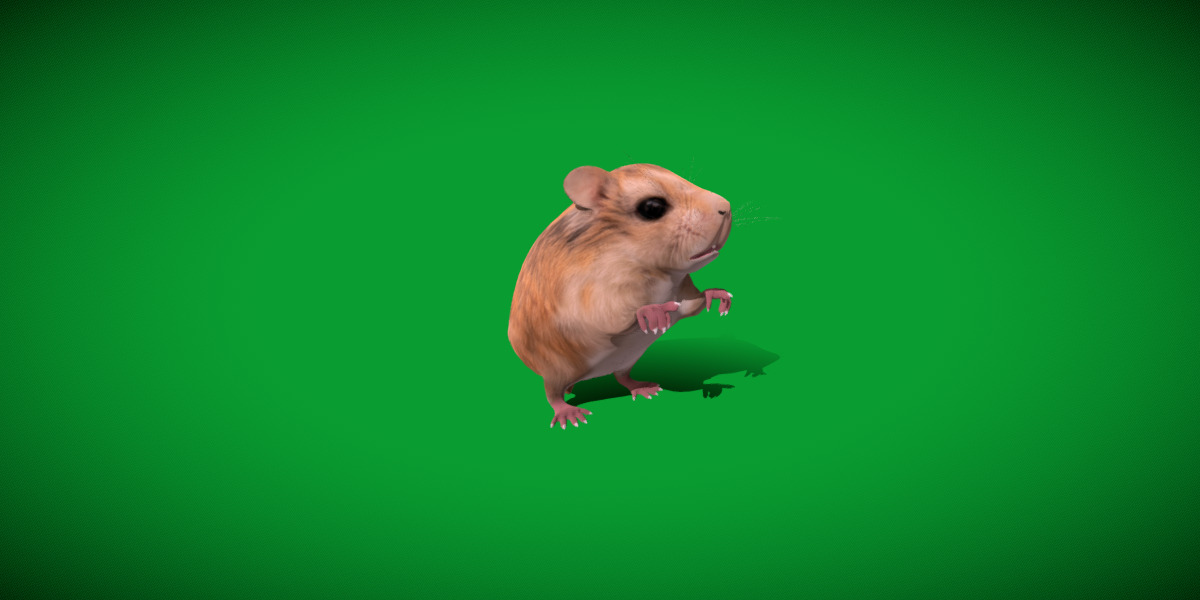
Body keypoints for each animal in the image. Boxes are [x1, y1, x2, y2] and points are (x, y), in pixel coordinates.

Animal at [508, 164, 733, 429]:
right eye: (652, 207)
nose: (726, 207)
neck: (661, 274)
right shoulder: (593, 293)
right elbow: (611, 316)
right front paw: (653, 312)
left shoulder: (681, 291)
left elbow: (692, 304)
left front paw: (717, 294)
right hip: (556, 369)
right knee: (552, 393)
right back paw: (568, 413)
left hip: (627, 359)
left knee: (622, 377)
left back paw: (643, 387)